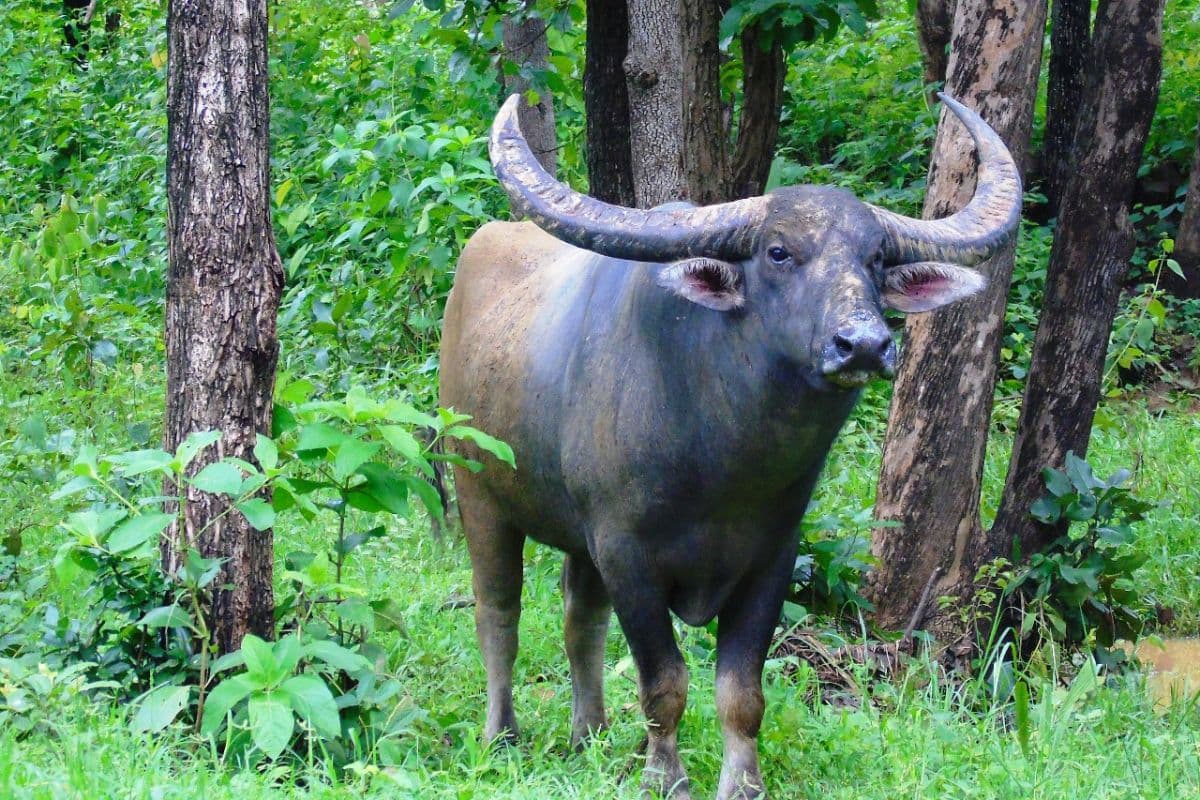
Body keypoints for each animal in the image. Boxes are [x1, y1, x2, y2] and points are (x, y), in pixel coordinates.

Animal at [439, 93, 1020, 799]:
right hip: (479, 496)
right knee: (500, 613)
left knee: (581, 620)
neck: (722, 468)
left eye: (877, 258)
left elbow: (741, 692)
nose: (864, 345)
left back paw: (591, 734)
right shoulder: (628, 554)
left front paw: (742, 782)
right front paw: (665, 776)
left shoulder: (769, 560)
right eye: (778, 252)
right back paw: (502, 734)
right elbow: (663, 682)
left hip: (579, 536)